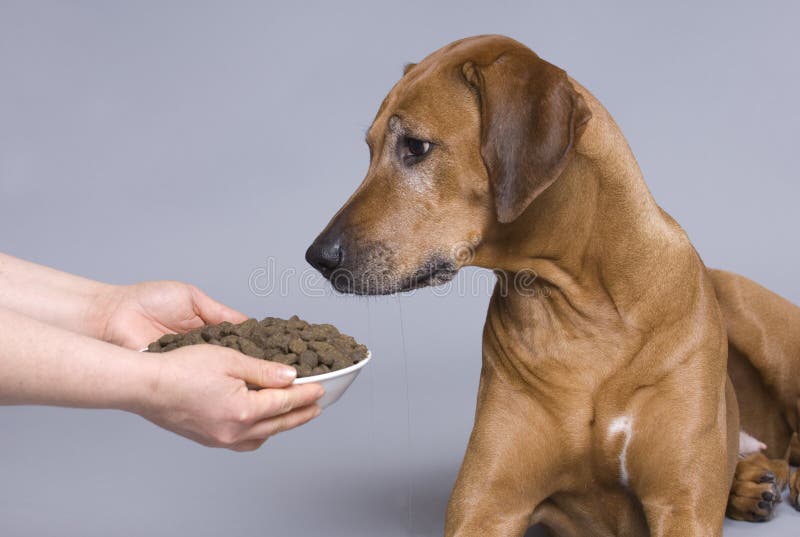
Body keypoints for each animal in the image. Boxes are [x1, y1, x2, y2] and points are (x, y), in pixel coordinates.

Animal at [306, 35, 800, 532]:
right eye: (370, 149)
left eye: (416, 146)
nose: (318, 257)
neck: (587, 310)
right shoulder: (486, 503)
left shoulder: (681, 505)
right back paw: (749, 482)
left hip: (753, 315)